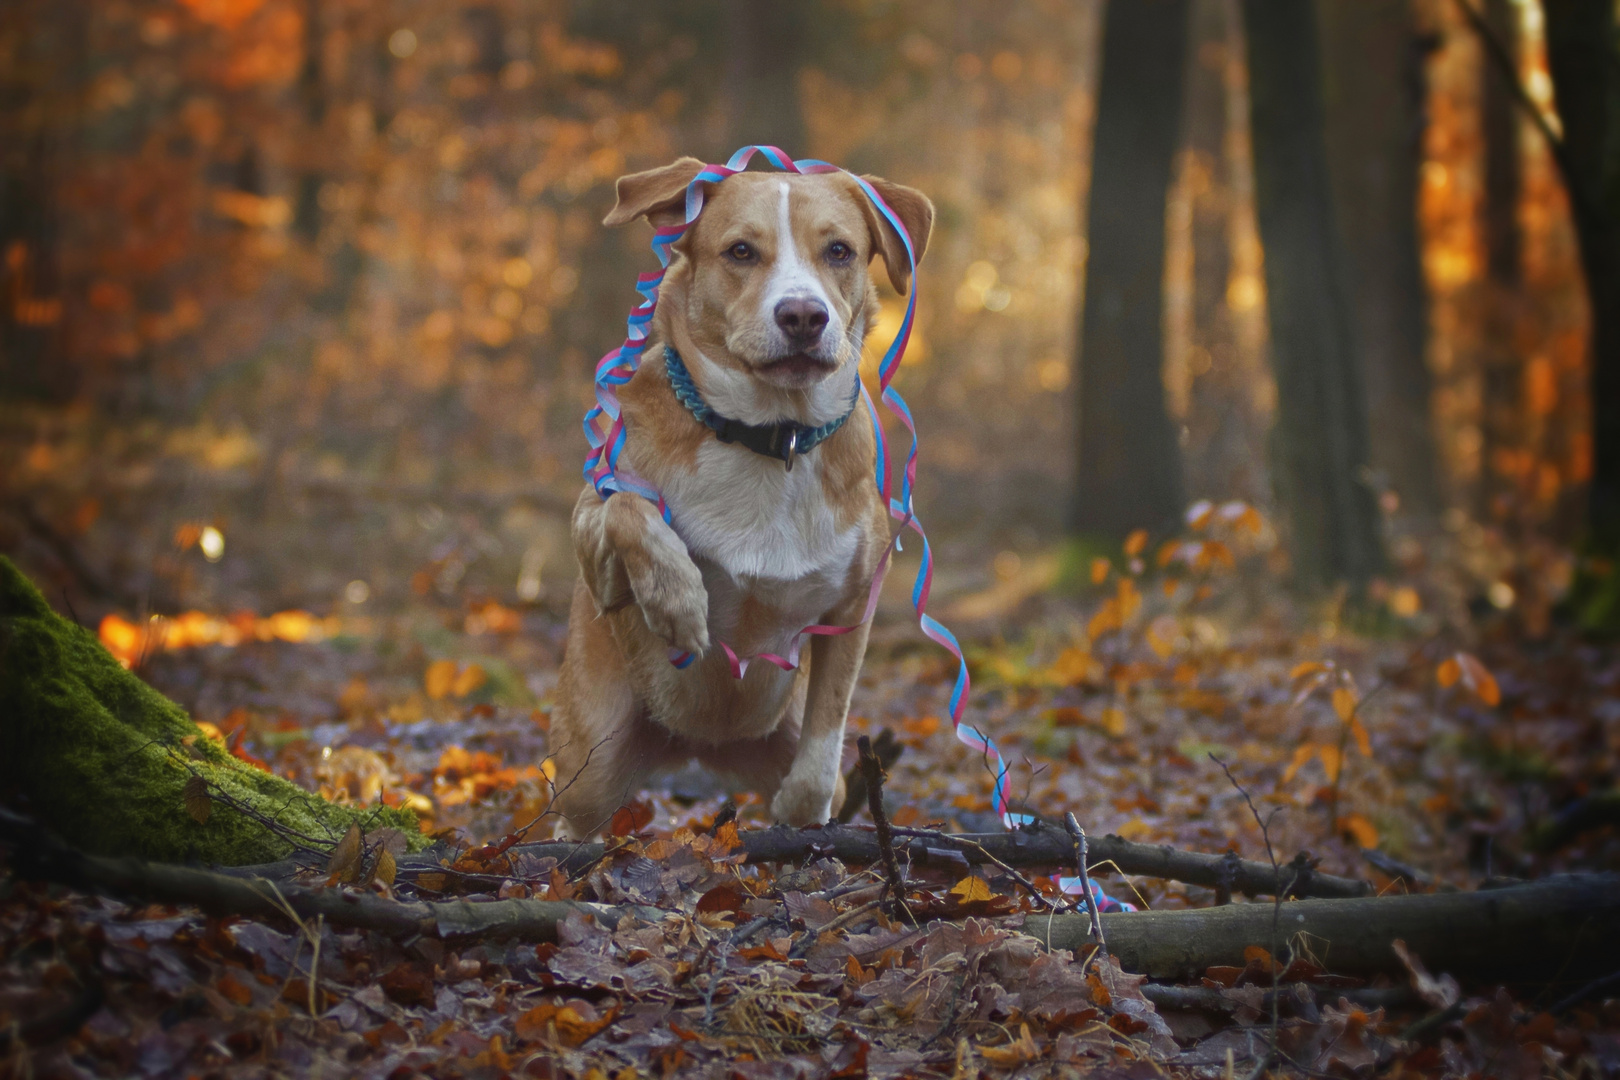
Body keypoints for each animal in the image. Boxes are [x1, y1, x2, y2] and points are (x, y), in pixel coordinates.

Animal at [550, 158, 939, 835]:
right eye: (740, 251)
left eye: (839, 250)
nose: (804, 315)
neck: (771, 439)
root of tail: (698, 744)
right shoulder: (595, 534)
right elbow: (629, 508)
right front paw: (677, 600)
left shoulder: (854, 603)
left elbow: (824, 749)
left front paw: (799, 812)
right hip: (594, 753)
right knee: (577, 812)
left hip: (771, 731)